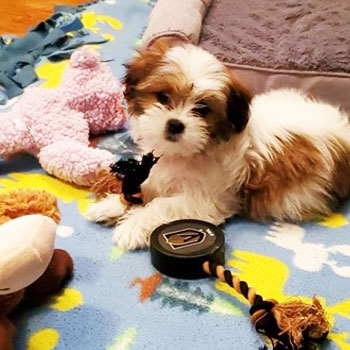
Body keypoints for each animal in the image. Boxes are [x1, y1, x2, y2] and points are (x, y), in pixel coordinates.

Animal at [86, 39, 350, 250]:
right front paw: (111, 205)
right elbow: (141, 186)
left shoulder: (208, 198)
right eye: (163, 97)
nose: (175, 124)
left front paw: (133, 225)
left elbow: (163, 204)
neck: (190, 152)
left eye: (202, 109)